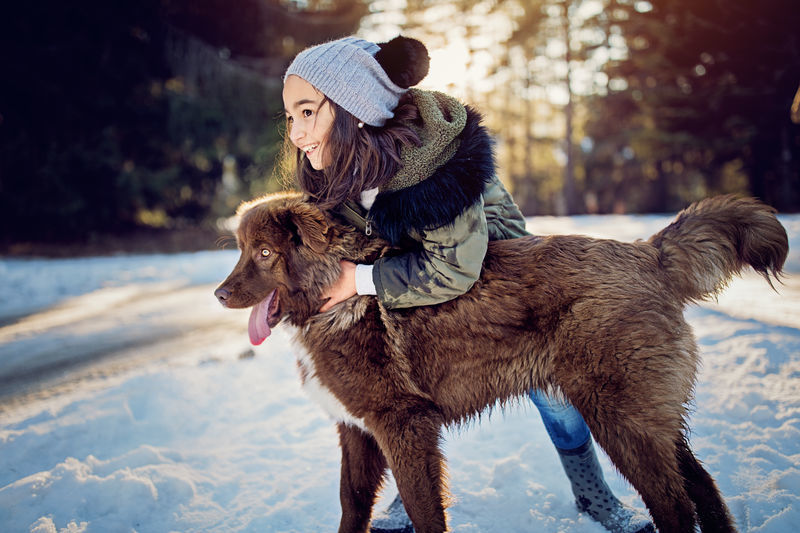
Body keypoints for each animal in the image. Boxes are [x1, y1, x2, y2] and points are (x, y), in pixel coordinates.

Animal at [216, 192, 784, 532]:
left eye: (264, 254)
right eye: (242, 250)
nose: (220, 295)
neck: (332, 299)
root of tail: (647, 253)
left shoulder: (404, 427)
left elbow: (424, 510)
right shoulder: (356, 431)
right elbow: (352, 504)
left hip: (620, 418)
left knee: (675, 505)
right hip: (649, 419)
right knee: (702, 488)